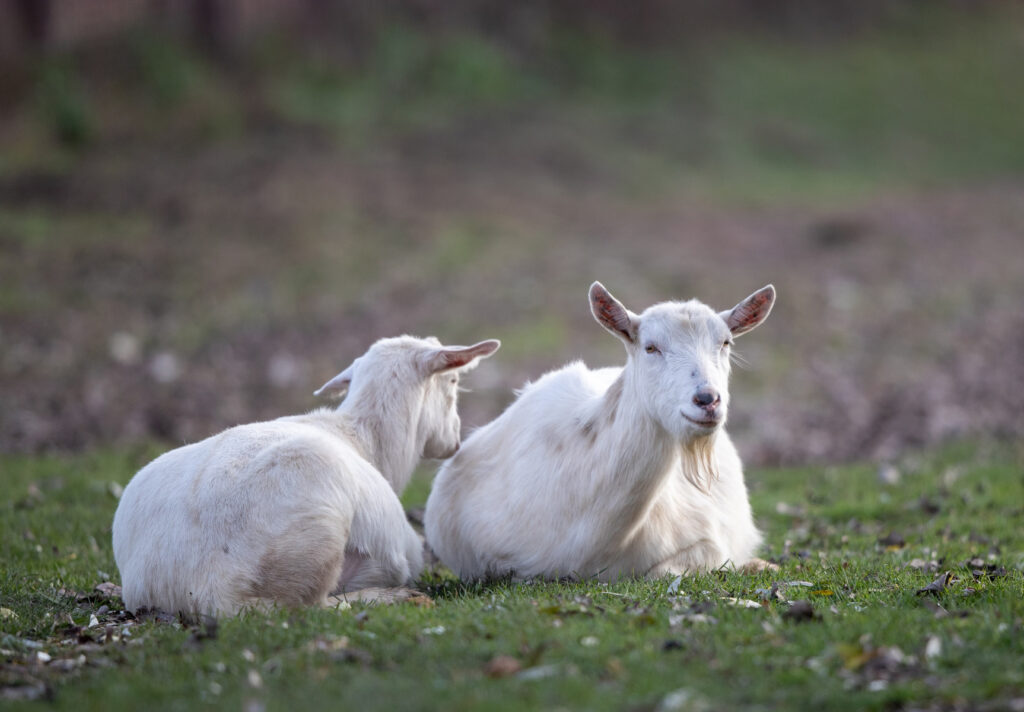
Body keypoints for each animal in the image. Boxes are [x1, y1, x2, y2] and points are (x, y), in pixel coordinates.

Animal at [112, 335, 500, 616]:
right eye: (453, 380)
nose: (453, 441)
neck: (364, 439)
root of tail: (207, 587)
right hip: (318, 536)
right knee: (309, 605)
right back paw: (394, 597)